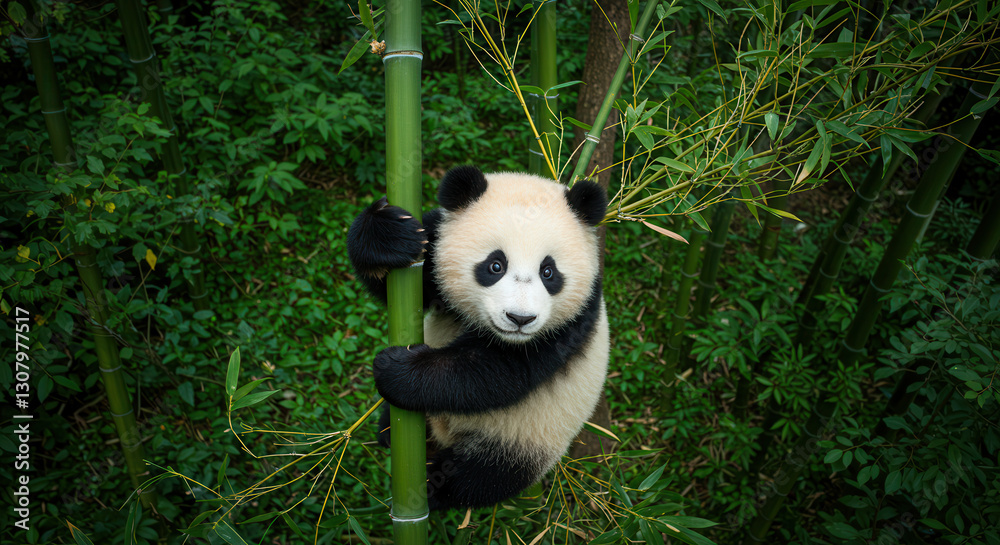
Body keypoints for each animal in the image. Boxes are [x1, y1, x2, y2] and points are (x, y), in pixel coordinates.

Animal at [346, 165, 609, 511]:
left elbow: (498, 370)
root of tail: (443, 435)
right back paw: (389, 433)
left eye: (548, 272)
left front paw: (397, 369)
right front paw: (389, 233)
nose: (520, 319)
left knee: (483, 475)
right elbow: (402, 284)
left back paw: (431, 486)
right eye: (495, 265)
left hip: (526, 437)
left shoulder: (576, 317)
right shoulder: (436, 240)